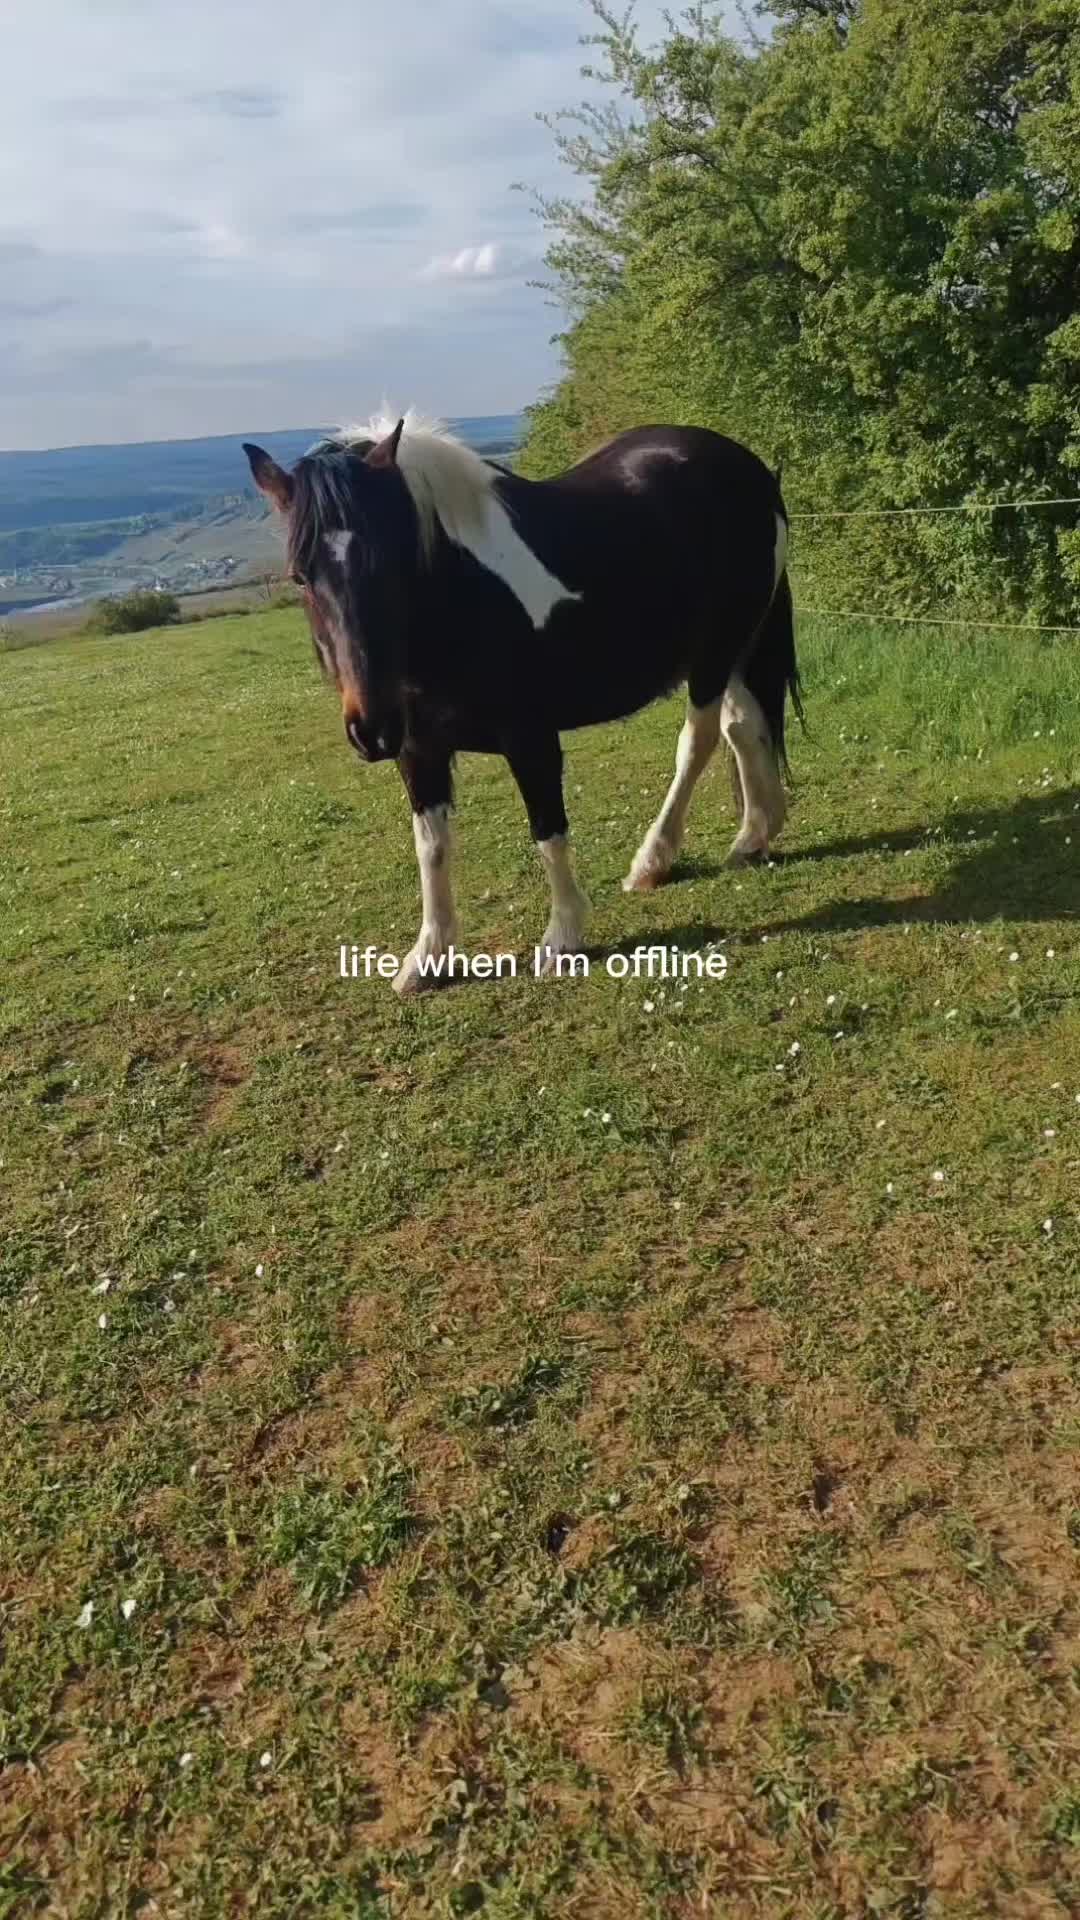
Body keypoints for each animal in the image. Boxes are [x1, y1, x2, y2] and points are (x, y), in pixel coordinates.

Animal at [243, 411, 802, 996]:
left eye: (391, 565)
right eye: (300, 576)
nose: (370, 730)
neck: (457, 598)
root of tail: (746, 465)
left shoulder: (531, 738)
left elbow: (547, 830)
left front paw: (562, 938)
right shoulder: (417, 749)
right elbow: (431, 846)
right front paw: (428, 956)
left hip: (716, 651)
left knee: (699, 741)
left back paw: (653, 861)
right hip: (737, 649)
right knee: (746, 726)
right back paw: (753, 837)